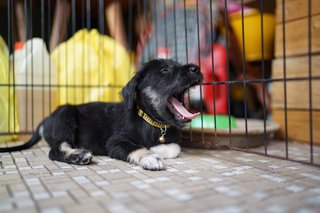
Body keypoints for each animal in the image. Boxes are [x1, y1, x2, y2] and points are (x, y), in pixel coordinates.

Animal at [0, 59, 202, 171]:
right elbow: (136, 147)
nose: (197, 69)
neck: (150, 121)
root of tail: (45, 120)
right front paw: (150, 157)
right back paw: (78, 156)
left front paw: (155, 149)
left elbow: (175, 147)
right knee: (55, 150)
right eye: (164, 71)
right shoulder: (115, 142)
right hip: (65, 116)